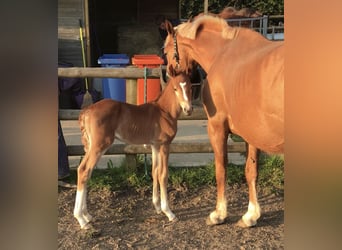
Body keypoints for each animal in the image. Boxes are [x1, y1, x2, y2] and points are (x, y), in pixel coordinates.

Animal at [74, 71, 192, 229]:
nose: (188, 109)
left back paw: (87, 215)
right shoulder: (164, 145)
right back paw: (81, 219)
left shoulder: (155, 146)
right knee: (84, 170)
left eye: (190, 87)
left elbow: (155, 171)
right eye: (175, 89)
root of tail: (86, 111)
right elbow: (163, 174)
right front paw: (169, 212)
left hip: (93, 146)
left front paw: (157, 207)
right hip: (99, 145)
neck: (164, 112)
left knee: (87, 172)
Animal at [163, 14, 284, 228]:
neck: (224, 53)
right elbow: (251, 171)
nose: (169, 75)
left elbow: (221, 169)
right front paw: (250, 215)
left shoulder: (217, 127)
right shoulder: (252, 134)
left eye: (166, 50)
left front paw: (218, 214)